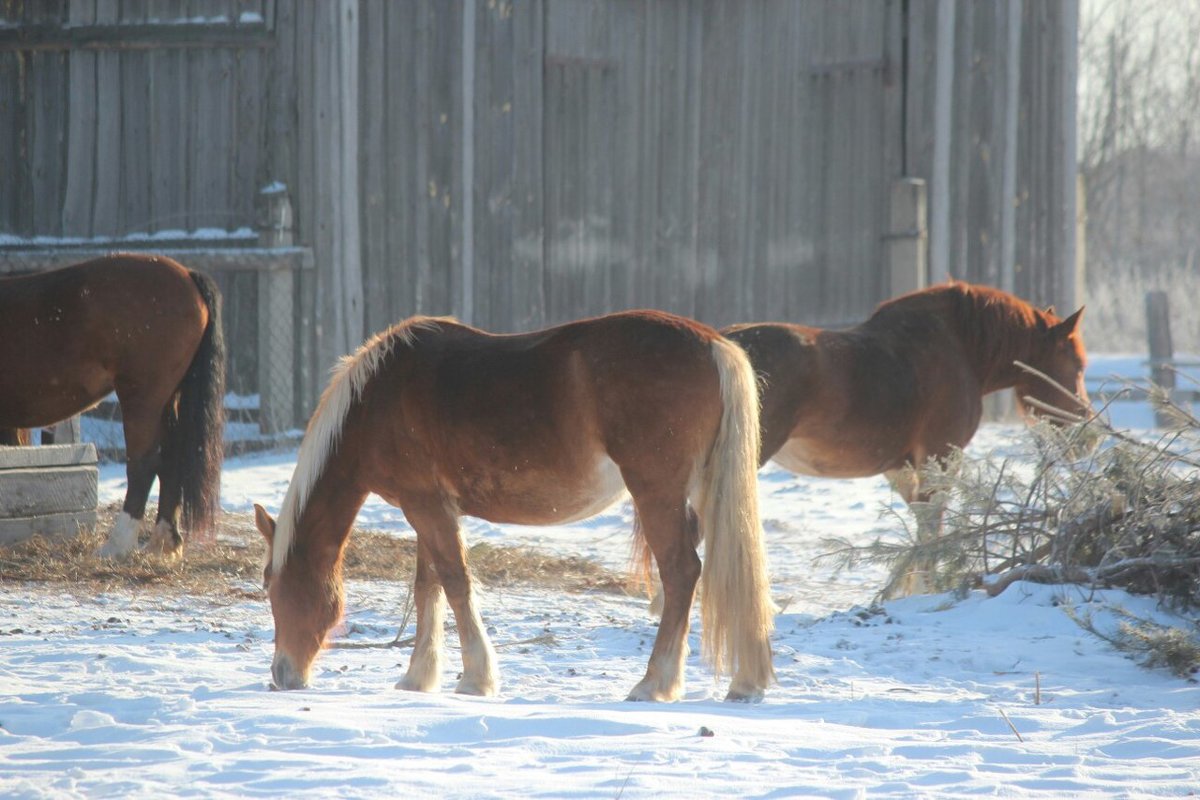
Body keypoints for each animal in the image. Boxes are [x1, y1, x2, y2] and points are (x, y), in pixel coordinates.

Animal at [0, 255, 225, 556]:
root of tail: (187, 274)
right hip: (165, 402)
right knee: (170, 460)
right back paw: (163, 543)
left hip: (141, 399)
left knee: (144, 465)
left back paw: (116, 546)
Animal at [254, 311, 777, 700]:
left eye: (276, 590)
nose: (282, 675)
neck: (376, 400)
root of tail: (712, 344)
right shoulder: (431, 509)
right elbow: (429, 587)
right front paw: (418, 677)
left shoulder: (425, 507)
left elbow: (454, 583)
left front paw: (476, 679)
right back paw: (741, 682)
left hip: (658, 493)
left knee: (682, 573)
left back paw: (654, 684)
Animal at [720, 280, 1089, 594]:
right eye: (1078, 364)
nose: (1088, 433)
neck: (960, 347)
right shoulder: (939, 458)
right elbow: (931, 528)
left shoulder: (901, 467)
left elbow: (919, 530)